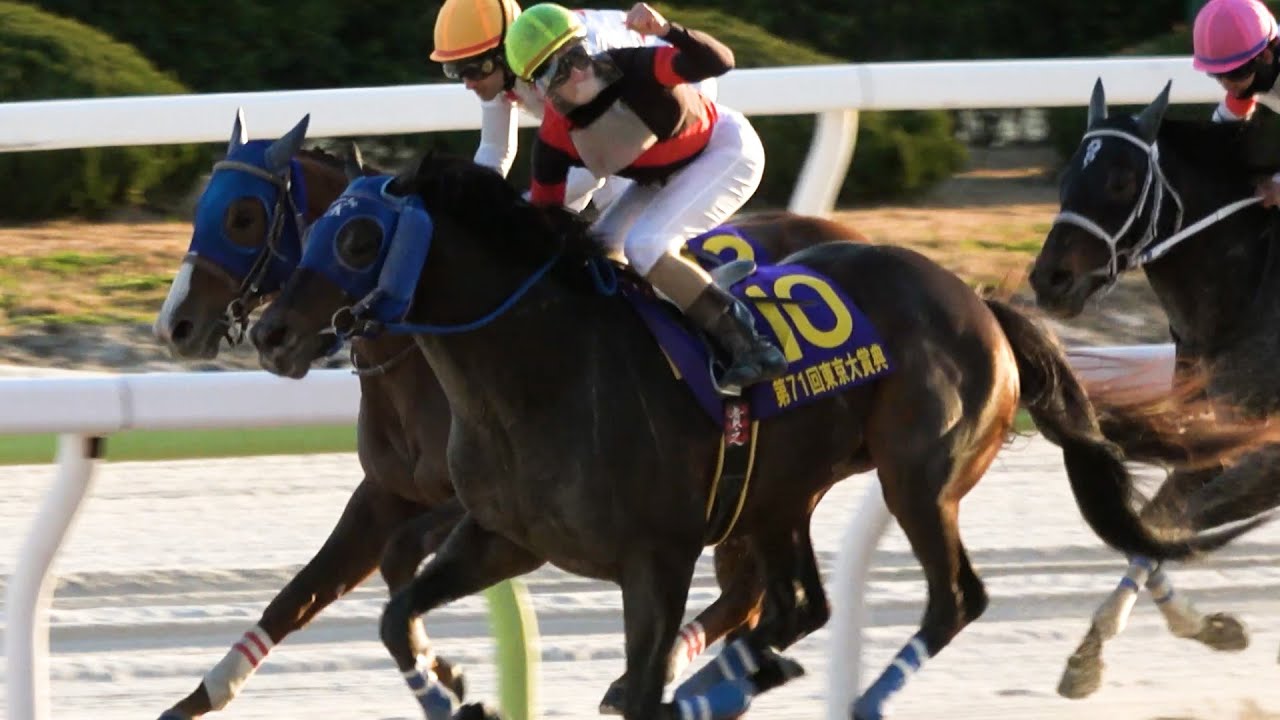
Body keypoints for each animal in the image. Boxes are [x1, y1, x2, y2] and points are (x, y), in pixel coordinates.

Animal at [148, 109, 874, 718]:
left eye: (243, 217)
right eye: (203, 210)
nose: (177, 325)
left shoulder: (461, 503)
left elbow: (397, 560)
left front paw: (447, 676)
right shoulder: (385, 491)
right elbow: (300, 593)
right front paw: (198, 697)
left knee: (745, 593)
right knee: (749, 594)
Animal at [247, 149, 1256, 720]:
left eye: (357, 240)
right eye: (319, 228)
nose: (269, 332)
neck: (536, 371)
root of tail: (978, 300)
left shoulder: (655, 559)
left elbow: (645, 687)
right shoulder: (504, 536)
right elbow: (395, 615)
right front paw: (460, 694)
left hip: (917, 476)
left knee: (952, 599)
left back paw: (844, 697)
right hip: (779, 496)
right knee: (799, 604)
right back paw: (739, 678)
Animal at [1030, 78, 1280, 698]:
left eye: (1120, 181)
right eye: (1067, 176)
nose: (1050, 280)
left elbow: (1166, 523)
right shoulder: (1215, 434)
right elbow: (1152, 524)